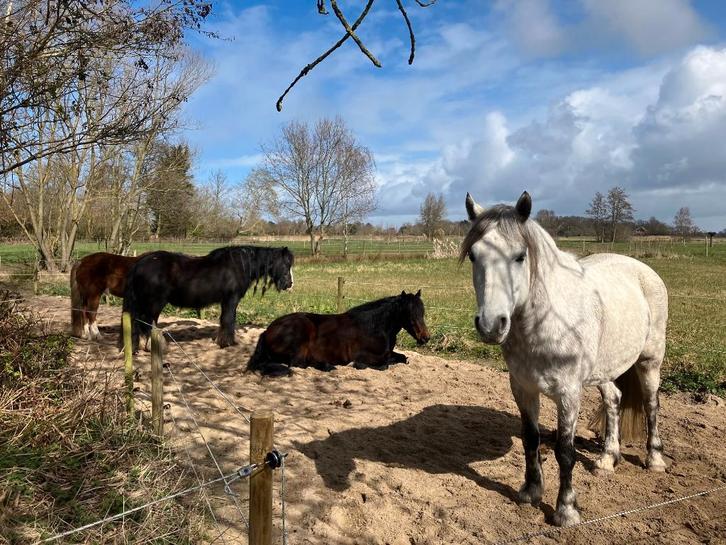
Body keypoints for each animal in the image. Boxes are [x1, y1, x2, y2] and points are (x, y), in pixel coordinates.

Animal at [123, 245, 294, 351]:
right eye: (285, 264)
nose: (289, 284)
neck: (239, 266)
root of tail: (140, 263)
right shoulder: (231, 299)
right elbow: (229, 320)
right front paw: (228, 343)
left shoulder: (226, 301)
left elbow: (224, 320)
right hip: (154, 304)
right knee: (146, 323)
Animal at [246, 290, 431, 376]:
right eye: (409, 314)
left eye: (422, 312)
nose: (425, 338)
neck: (375, 327)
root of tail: (267, 330)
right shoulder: (363, 356)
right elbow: (381, 365)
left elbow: (404, 358)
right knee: (298, 364)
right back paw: (328, 366)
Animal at [461, 191, 668, 527]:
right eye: (473, 256)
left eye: (520, 256)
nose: (491, 325)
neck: (546, 322)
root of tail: (642, 269)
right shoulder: (523, 388)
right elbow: (530, 439)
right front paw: (530, 492)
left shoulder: (569, 393)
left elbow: (565, 451)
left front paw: (566, 509)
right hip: (604, 370)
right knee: (614, 399)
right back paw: (607, 459)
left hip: (650, 361)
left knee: (651, 405)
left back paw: (655, 459)